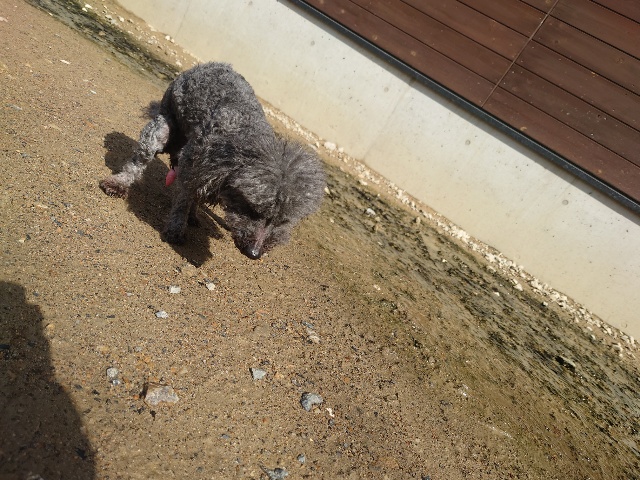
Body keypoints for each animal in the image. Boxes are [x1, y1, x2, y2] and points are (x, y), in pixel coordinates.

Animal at [100, 62, 325, 259]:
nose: (254, 253)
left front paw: (191, 216)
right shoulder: (193, 166)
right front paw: (176, 229)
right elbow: (183, 201)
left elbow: (194, 198)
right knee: (138, 161)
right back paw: (118, 183)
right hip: (161, 129)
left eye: (282, 221)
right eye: (253, 210)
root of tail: (214, 64)